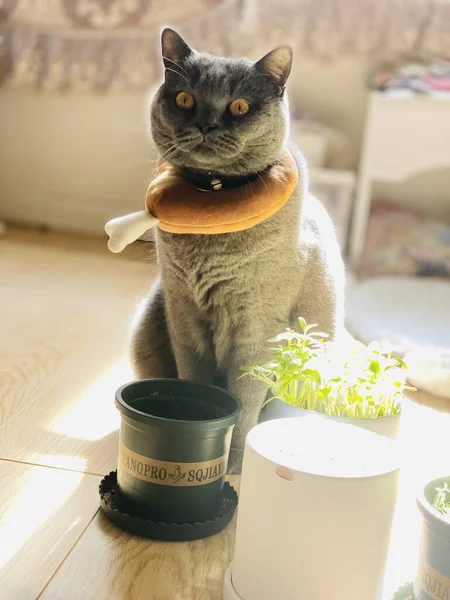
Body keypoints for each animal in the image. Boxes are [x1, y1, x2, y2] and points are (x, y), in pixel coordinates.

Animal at [131, 29, 344, 474]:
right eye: (184, 100)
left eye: (240, 106)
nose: (206, 124)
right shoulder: (184, 316)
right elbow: (193, 379)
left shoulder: (257, 327)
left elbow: (244, 399)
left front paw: (236, 460)